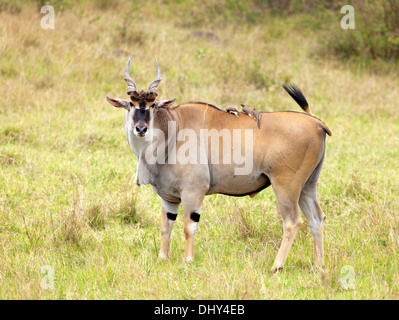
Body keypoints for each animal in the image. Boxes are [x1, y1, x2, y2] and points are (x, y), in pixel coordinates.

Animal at [105, 59, 332, 272]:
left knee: (293, 222)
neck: (173, 128)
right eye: (131, 104)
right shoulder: (169, 198)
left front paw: (188, 260)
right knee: (316, 218)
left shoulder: (193, 191)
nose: (141, 128)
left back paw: (277, 266)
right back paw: (318, 265)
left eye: (153, 105)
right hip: (307, 186)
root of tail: (316, 123)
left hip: (286, 186)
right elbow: (165, 227)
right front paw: (162, 258)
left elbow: (189, 227)